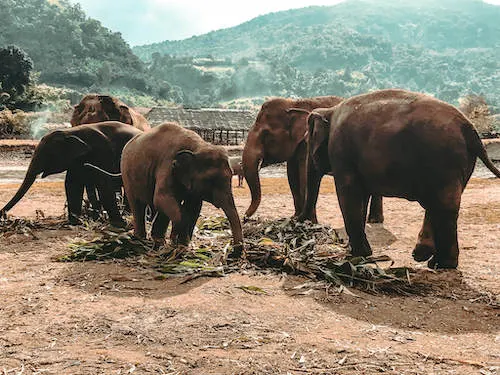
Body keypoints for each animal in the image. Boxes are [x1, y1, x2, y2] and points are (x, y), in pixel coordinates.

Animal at [0, 122, 142, 226]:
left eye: (47, 155)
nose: (5, 217)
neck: (69, 132)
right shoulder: (75, 160)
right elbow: (73, 184)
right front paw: (75, 222)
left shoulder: (102, 152)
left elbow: (103, 184)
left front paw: (120, 223)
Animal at [118, 123, 242, 258]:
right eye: (211, 180)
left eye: (231, 176)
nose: (231, 253)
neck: (198, 146)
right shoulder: (167, 166)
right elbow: (162, 198)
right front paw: (178, 243)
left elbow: (193, 207)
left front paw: (181, 245)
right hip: (126, 173)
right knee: (138, 205)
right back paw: (141, 239)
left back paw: (158, 241)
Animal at [302, 89, 500, 268]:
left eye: (308, 143)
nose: (304, 223)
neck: (330, 110)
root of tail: (470, 128)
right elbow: (361, 196)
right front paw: (359, 253)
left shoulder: (341, 152)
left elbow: (348, 194)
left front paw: (357, 254)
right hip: (459, 164)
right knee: (440, 205)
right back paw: (425, 257)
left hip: (443, 160)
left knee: (442, 206)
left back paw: (440, 264)